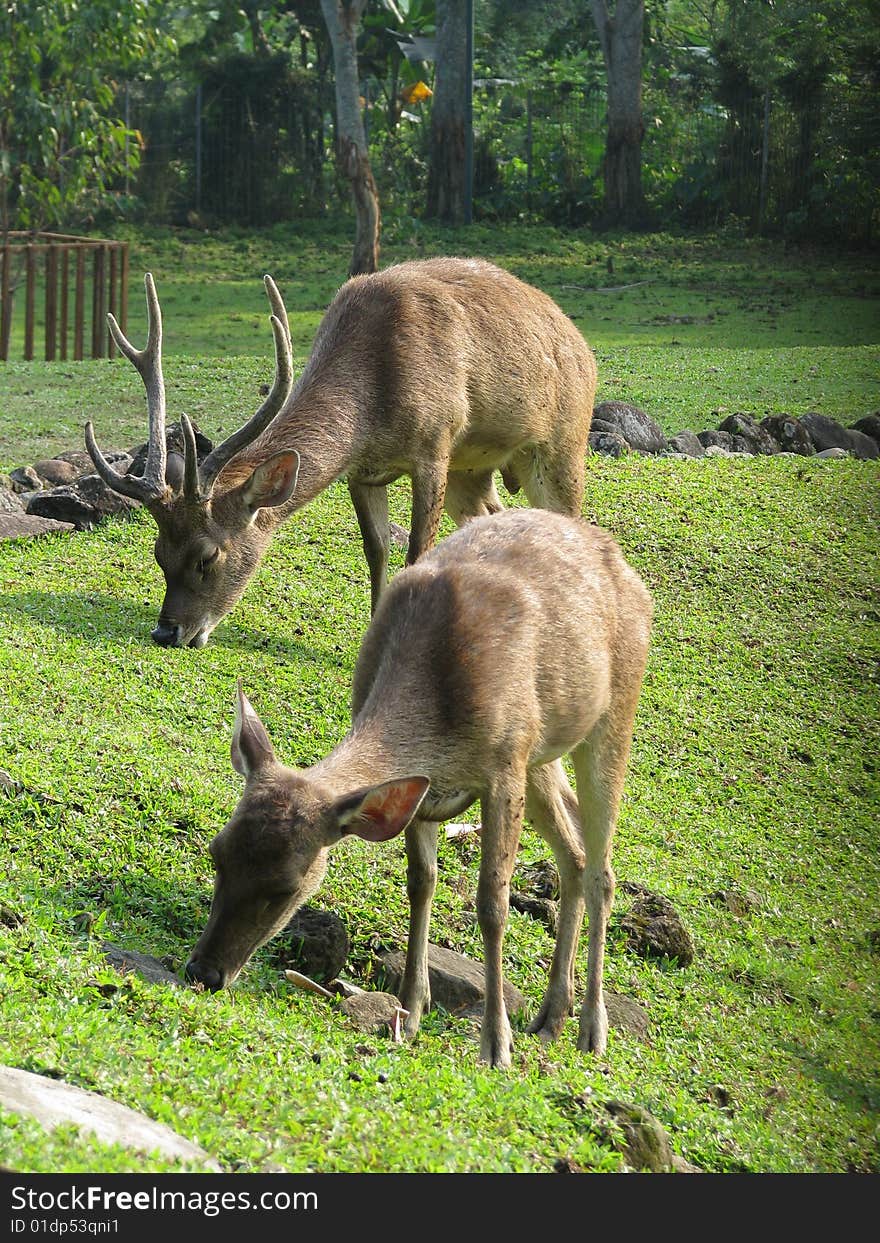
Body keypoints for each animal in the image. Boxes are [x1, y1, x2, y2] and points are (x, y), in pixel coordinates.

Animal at [87, 262, 599, 651]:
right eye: (158, 553)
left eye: (208, 556)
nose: (166, 632)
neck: (374, 404)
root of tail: (580, 343)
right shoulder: (362, 472)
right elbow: (377, 550)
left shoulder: (435, 444)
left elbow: (416, 551)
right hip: (471, 470)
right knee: (494, 516)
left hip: (562, 442)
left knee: (570, 522)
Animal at [187, 507, 651, 1068]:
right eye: (217, 854)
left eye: (286, 887)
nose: (202, 972)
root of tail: (624, 566)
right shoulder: (429, 792)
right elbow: (420, 883)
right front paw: (408, 1013)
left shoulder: (504, 764)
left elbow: (492, 903)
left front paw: (495, 1045)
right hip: (542, 752)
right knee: (575, 855)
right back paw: (549, 1018)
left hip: (612, 713)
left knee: (602, 867)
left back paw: (591, 1028)